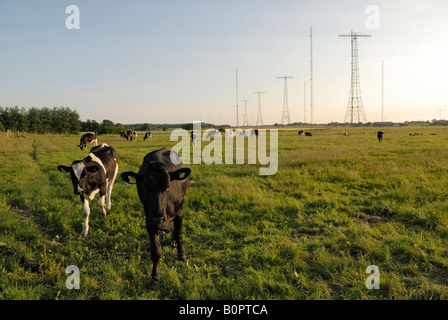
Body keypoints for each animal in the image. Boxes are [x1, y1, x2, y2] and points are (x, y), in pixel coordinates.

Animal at [121, 149, 192, 282]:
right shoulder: (149, 220)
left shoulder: (180, 213)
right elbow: (155, 250)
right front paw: (155, 275)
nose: (158, 217)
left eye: (168, 186)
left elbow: (179, 235)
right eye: (145, 188)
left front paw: (181, 255)